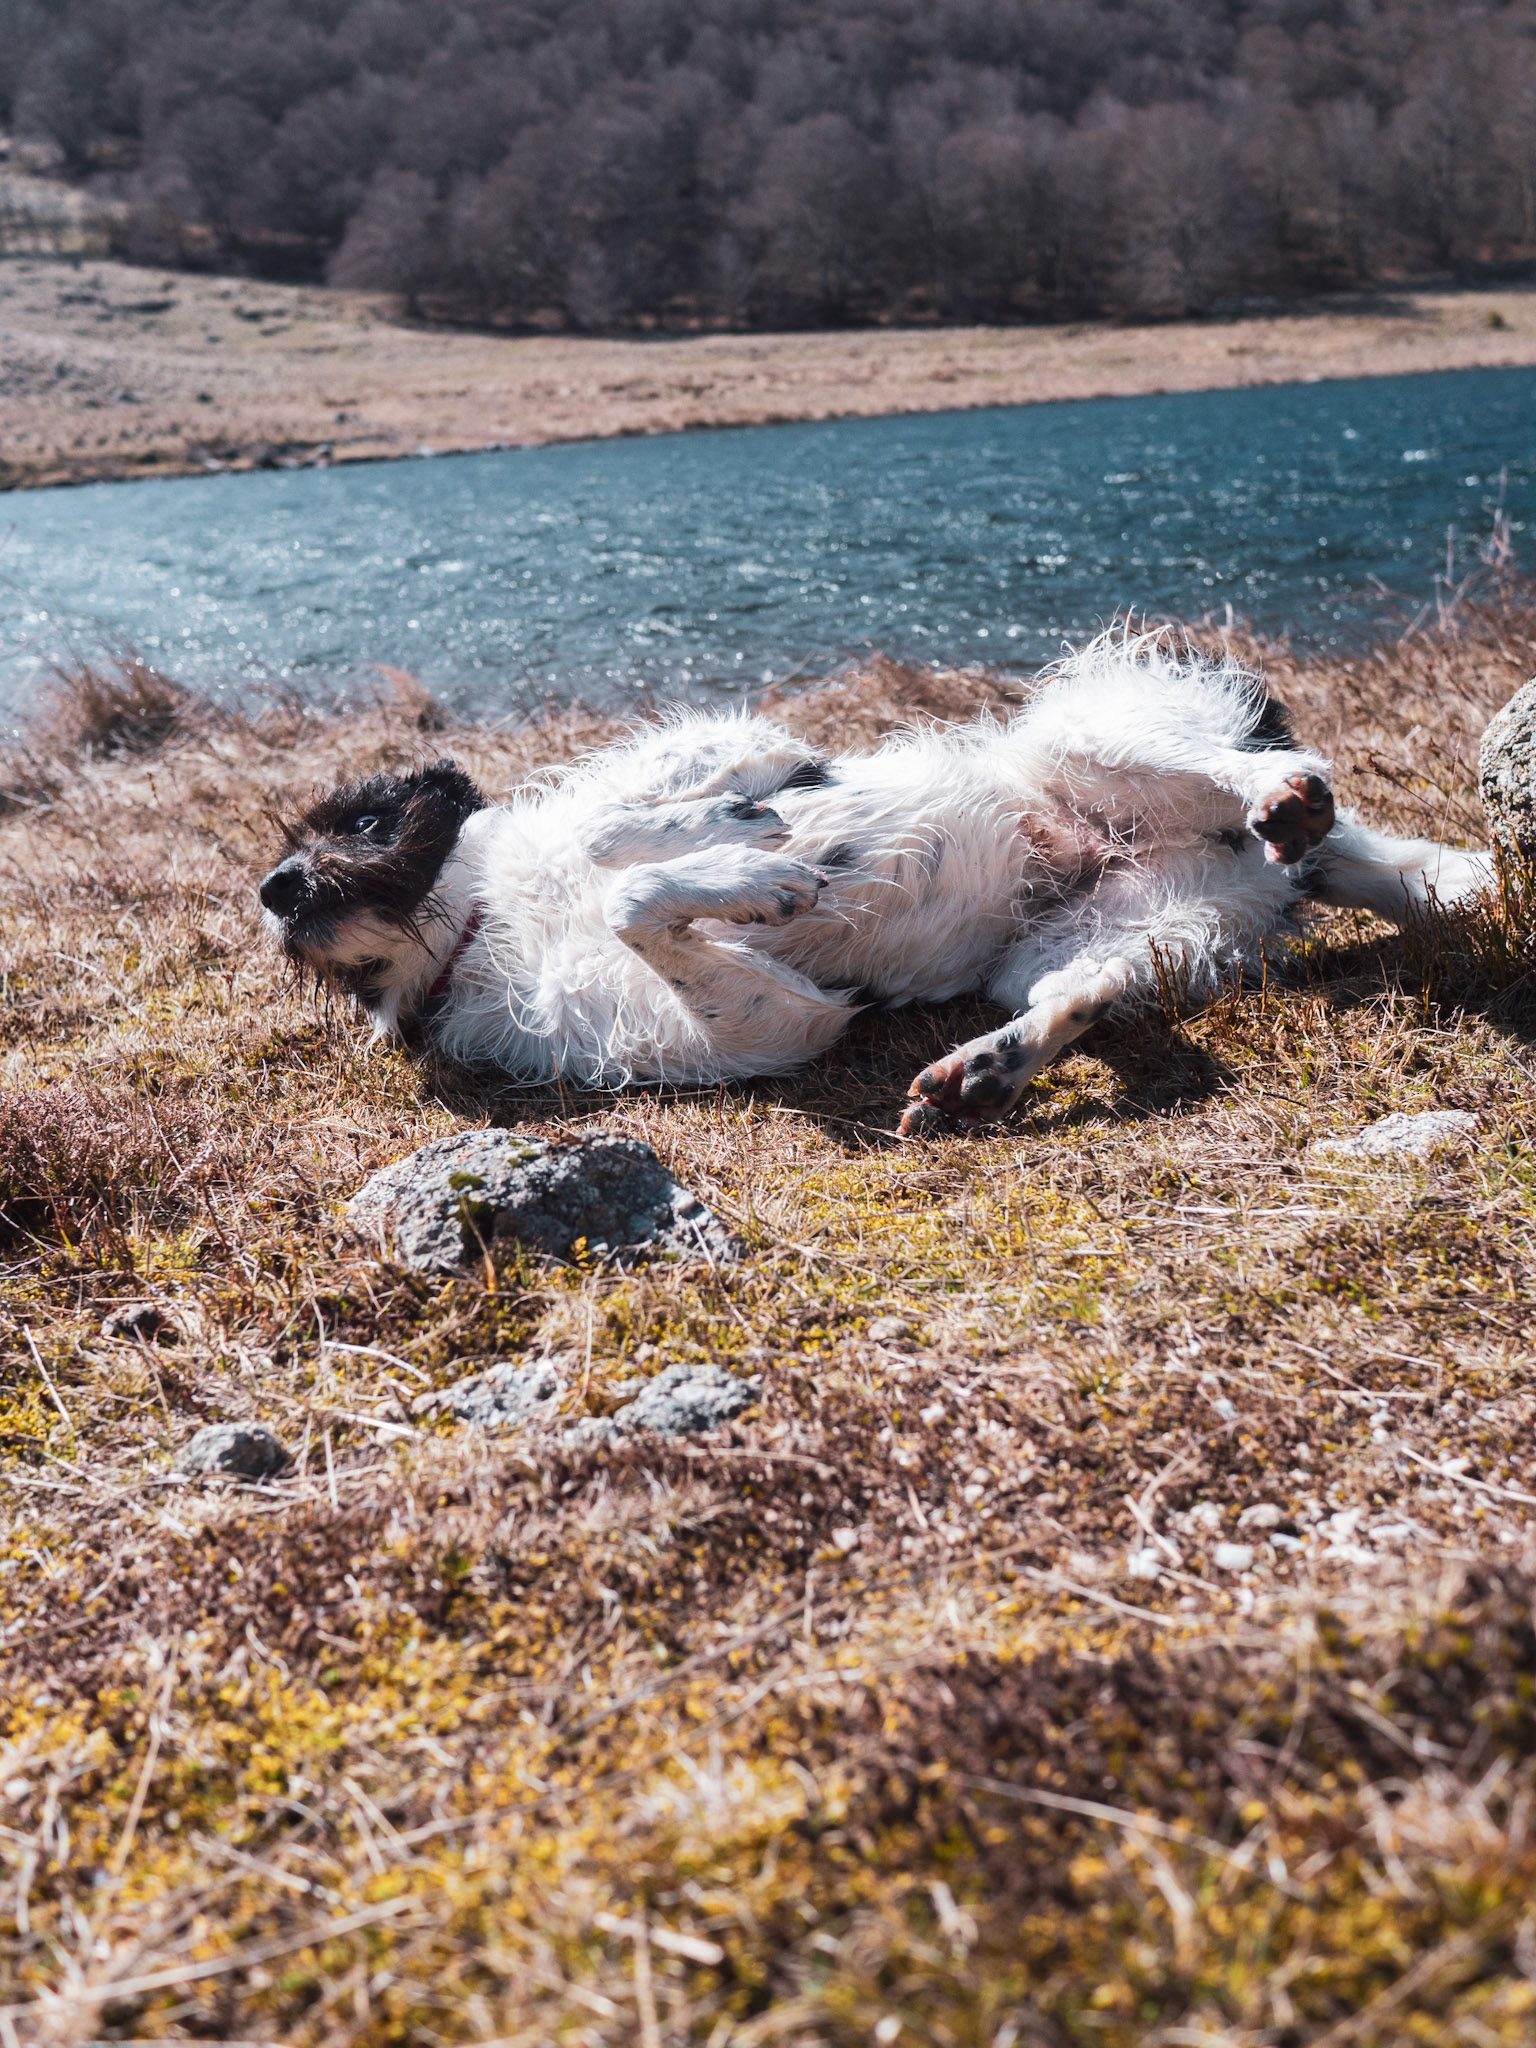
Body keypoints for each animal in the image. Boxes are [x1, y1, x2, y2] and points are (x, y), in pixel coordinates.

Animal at [258, 634, 1492, 1134]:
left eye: (364, 821)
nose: (276, 889)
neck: (487, 921)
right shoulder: (776, 1027)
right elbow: (640, 899)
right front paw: (747, 876)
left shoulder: (737, 741)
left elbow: (620, 842)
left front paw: (738, 849)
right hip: (1076, 941)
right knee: (1080, 995)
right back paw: (984, 1075)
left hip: (1091, 739)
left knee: (1266, 771)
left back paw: (1281, 791)